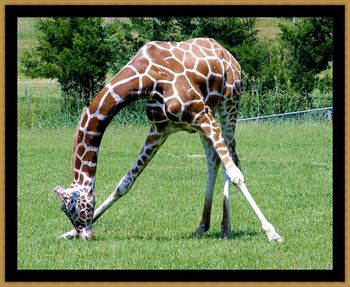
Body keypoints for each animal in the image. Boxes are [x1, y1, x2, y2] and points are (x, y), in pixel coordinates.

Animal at [55, 36, 284, 243]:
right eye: (65, 211)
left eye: (73, 208)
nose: (85, 235)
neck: (145, 80)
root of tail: (226, 52)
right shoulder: (161, 128)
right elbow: (125, 183)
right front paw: (68, 233)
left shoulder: (200, 114)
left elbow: (236, 175)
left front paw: (272, 232)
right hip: (206, 115)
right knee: (214, 159)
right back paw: (203, 226)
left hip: (229, 101)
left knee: (231, 158)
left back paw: (226, 228)